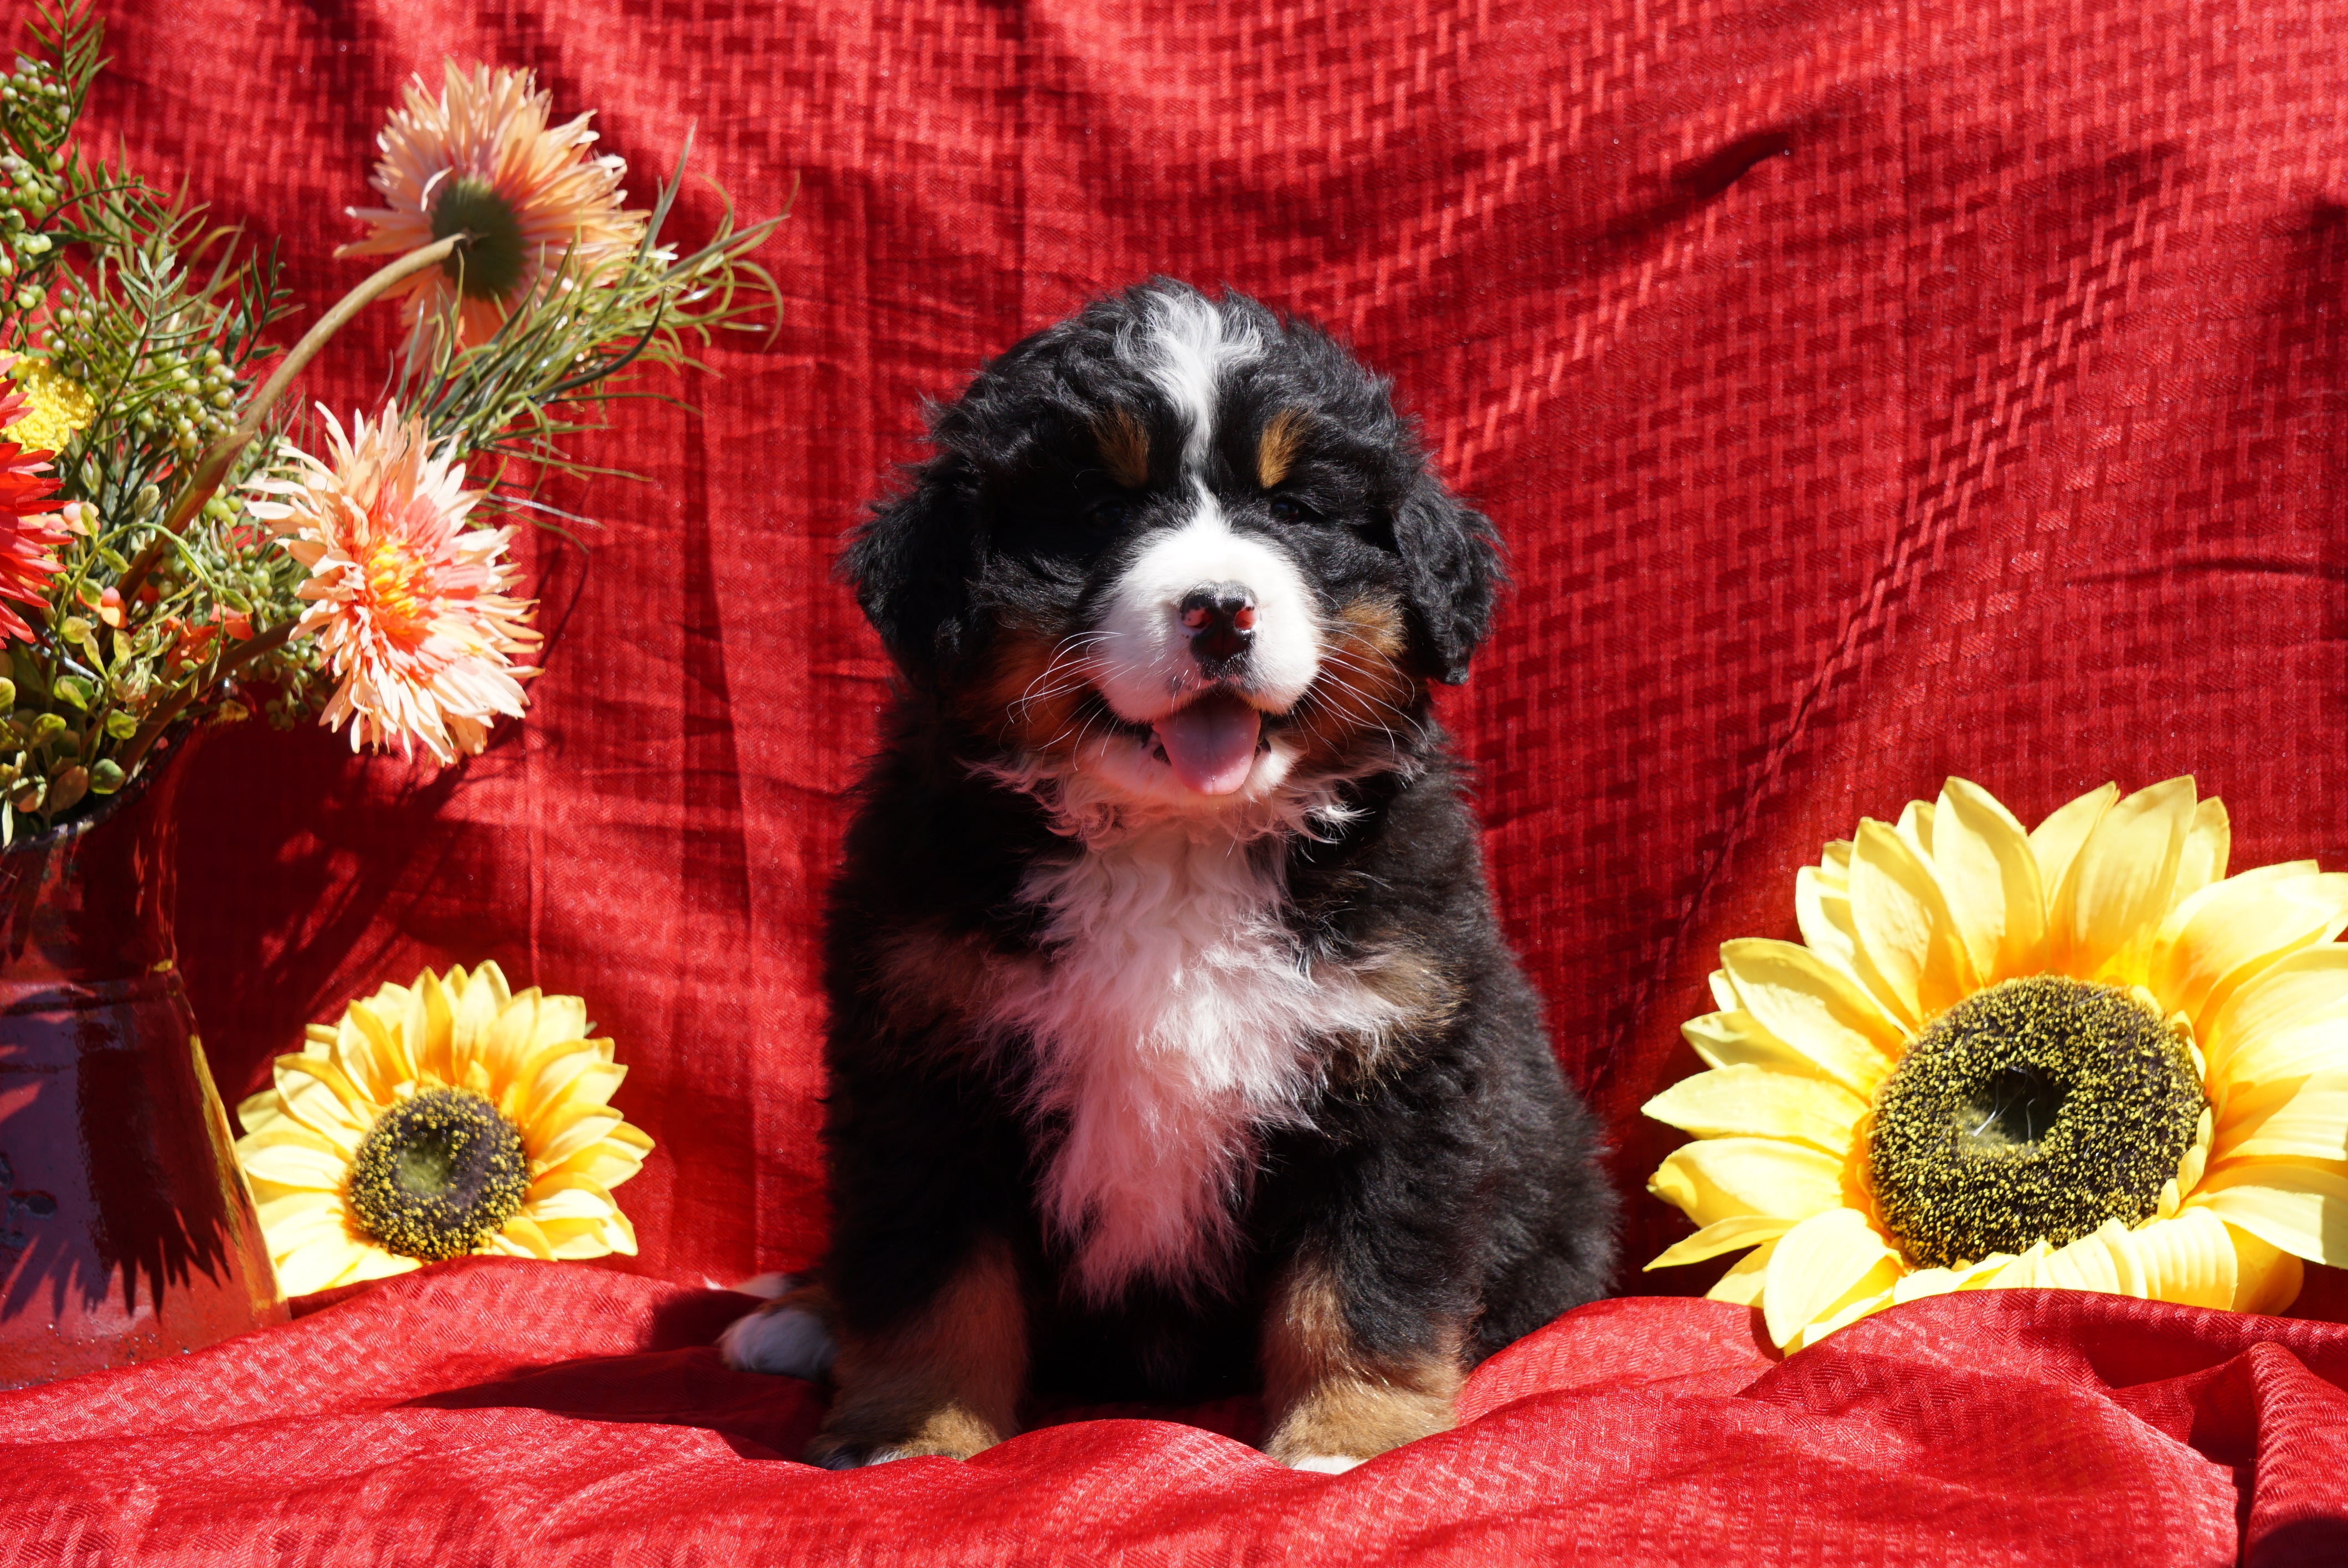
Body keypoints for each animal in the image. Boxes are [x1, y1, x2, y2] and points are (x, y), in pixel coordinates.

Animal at [723, 281, 1625, 1474]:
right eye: (1100, 507)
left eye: (1295, 510)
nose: (1219, 609)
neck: (1175, 843)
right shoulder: (925, 1054)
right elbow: (930, 1280)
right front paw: (910, 1440)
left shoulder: (1400, 1060)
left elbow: (1363, 1281)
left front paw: (1352, 1442)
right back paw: (799, 1313)